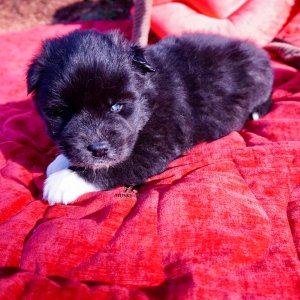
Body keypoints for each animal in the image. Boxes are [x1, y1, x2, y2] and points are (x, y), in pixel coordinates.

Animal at [27, 29, 274, 204]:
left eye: (117, 106)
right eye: (64, 112)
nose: (98, 149)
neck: (148, 98)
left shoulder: (155, 145)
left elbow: (117, 164)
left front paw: (63, 181)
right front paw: (60, 161)